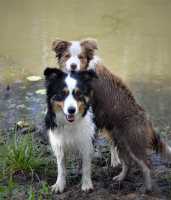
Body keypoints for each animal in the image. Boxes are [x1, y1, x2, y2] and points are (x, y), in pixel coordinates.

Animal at [51, 38, 171, 191]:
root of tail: (147, 119)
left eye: (81, 57)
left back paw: (147, 188)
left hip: (133, 141)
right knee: (128, 162)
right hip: (121, 141)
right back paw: (120, 178)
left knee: (146, 165)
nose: (73, 66)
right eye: (67, 56)